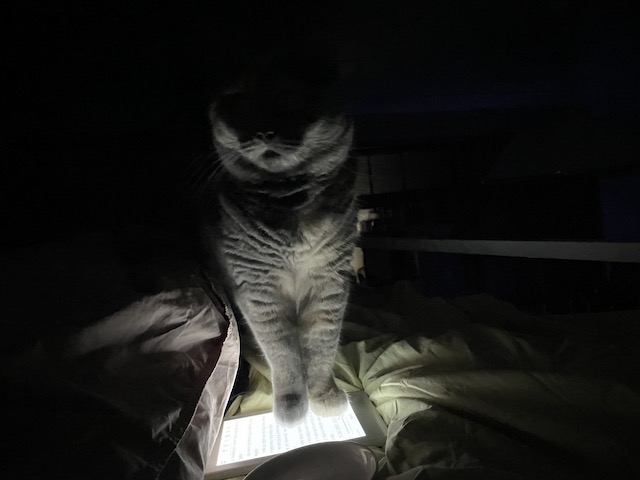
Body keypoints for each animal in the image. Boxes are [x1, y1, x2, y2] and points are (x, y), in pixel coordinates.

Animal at [201, 51, 357, 426]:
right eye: (240, 103)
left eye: (290, 99)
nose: (263, 131)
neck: (289, 198)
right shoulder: (258, 291)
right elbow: (283, 353)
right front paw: (291, 406)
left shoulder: (329, 281)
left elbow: (322, 346)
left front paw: (323, 397)